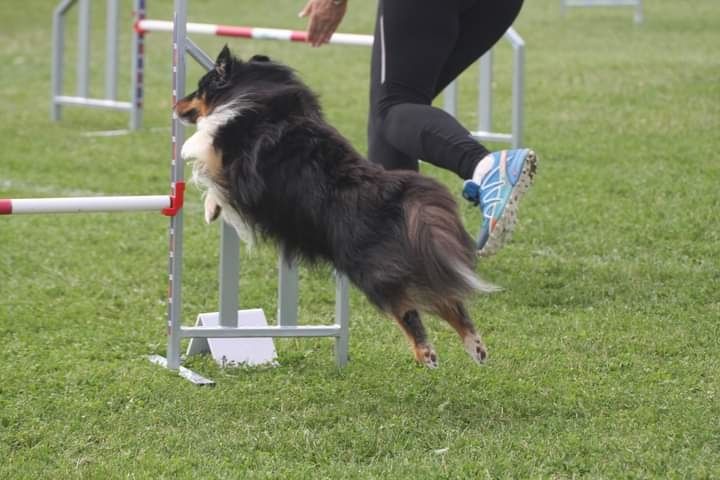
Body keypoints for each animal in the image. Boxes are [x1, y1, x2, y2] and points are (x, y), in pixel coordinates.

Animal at [179, 46, 500, 368]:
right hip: (422, 259)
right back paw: (476, 347)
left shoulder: (229, 165)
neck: (253, 87)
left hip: (371, 269)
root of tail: (395, 194)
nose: (176, 103)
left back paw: (426, 352)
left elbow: (202, 161)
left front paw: (209, 207)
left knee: (409, 307)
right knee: (449, 300)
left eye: (199, 86)